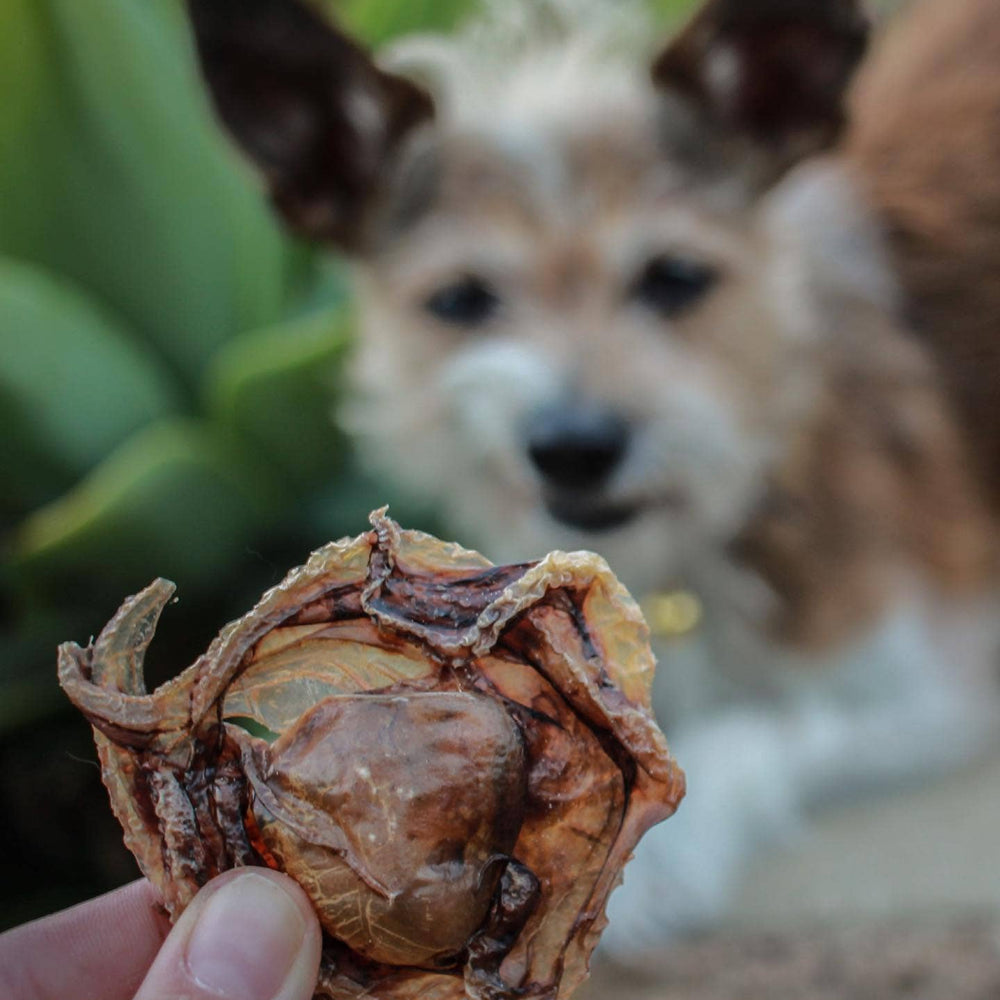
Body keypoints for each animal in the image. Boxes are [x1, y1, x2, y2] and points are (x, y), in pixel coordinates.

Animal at [189, 0, 1000, 956]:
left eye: (676, 277)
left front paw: (662, 857)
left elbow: (754, 730)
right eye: (460, 299)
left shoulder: (944, 690)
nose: (575, 445)